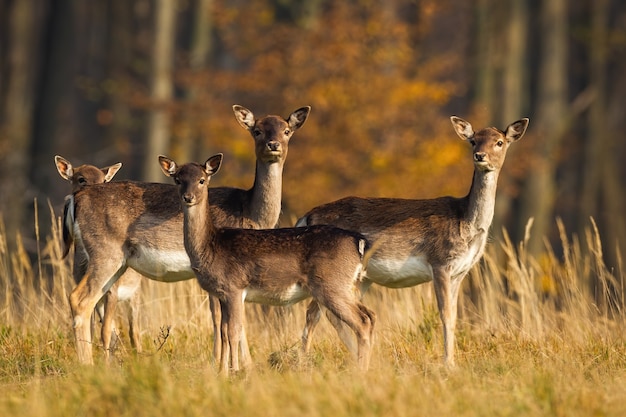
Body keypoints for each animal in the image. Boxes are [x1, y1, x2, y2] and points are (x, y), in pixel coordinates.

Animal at [55, 154, 143, 358]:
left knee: (133, 330)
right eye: (81, 179)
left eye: (104, 180)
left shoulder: (113, 290)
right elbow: (97, 328)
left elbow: (106, 332)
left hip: (134, 292)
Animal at [66, 105, 310, 364]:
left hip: (110, 262)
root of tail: (76, 199)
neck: (250, 213)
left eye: (287, 130)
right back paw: (87, 364)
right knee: (80, 300)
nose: (274, 145)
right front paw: (228, 364)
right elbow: (222, 321)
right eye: (257, 131)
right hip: (105, 251)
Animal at [161, 154, 376, 374]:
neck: (211, 246)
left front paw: (234, 371)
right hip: (345, 286)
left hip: (331, 284)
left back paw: (361, 370)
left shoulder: (234, 287)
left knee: (362, 320)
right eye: (178, 180)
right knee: (370, 315)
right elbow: (223, 331)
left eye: (202, 180)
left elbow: (234, 331)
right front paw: (222, 371)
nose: (188, 197)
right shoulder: (221, 293)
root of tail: (358, 241)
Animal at [296, 115, 528, 366]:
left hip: (359, 278)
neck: (466, 223)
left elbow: (455, 316)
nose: (480, 156)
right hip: (330, 270)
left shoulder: (460, 272)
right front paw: (448, 364)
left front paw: (452, 361)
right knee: (316, 312)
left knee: (330, 314)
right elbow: (445, 315)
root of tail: (306, 216)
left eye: (499, 142)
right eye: (473, 141)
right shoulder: (440, 261)